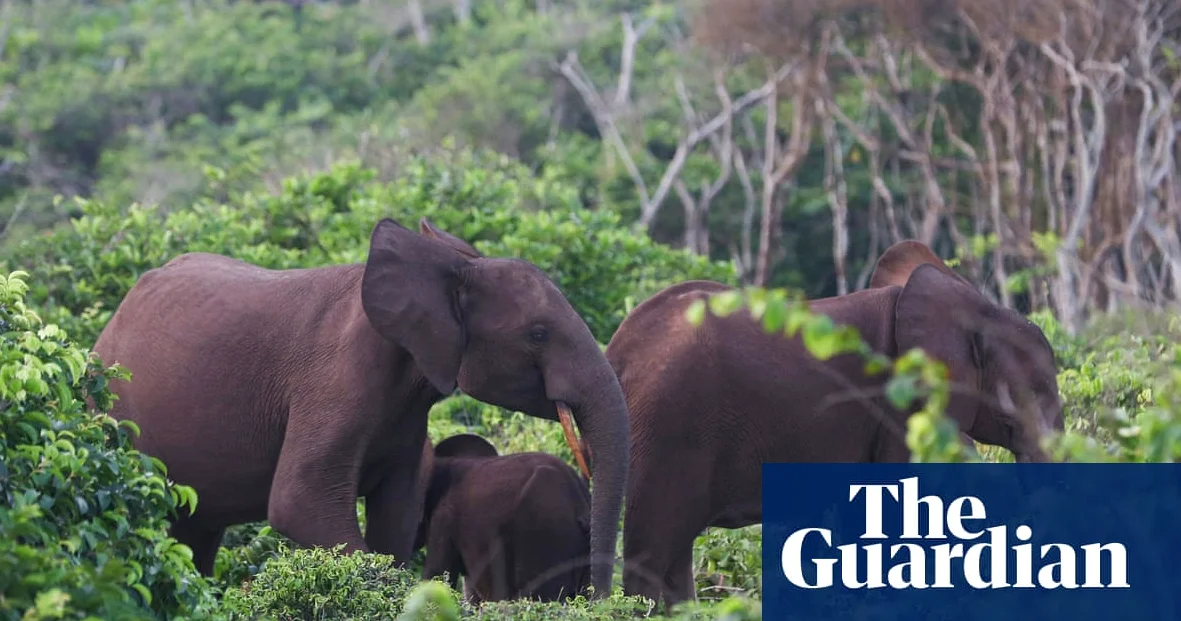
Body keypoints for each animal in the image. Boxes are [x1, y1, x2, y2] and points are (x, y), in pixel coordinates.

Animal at [604, 240, 1065, 608]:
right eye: (1033, 394)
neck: (973, 306)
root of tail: (617, 350)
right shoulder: (899, 406)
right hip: (668, 425)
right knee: (654, 551)